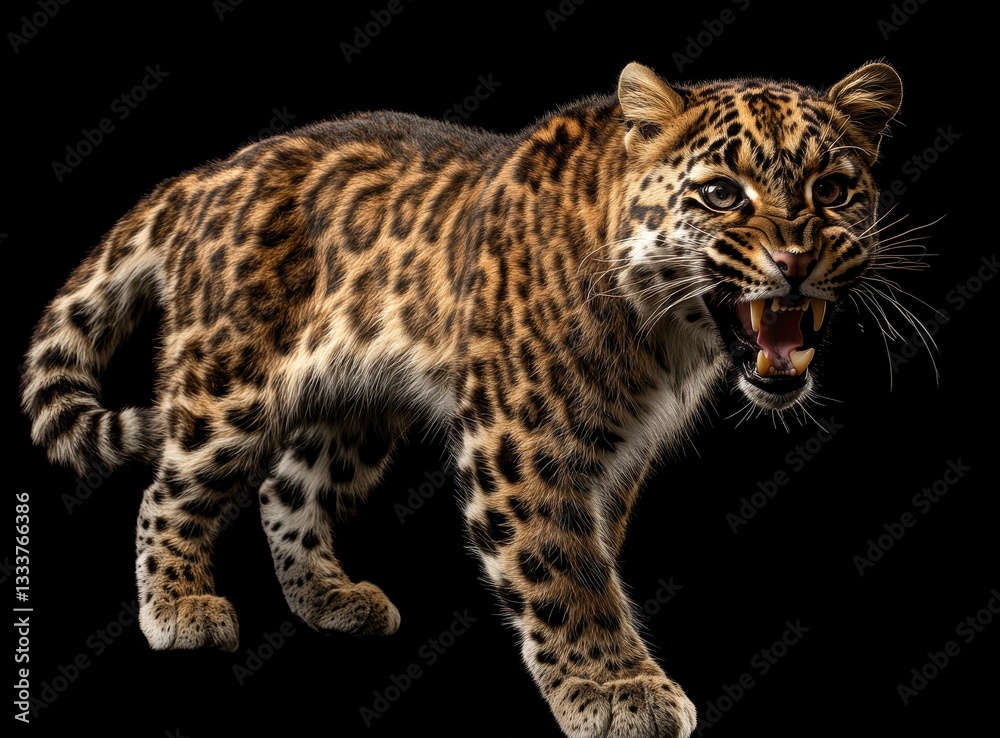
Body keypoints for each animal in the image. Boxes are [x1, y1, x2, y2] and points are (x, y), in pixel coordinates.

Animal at [21, 61, 904, 737]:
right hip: (226, 383)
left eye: (834, 189)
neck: (663, 337)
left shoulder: (618, 456)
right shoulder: (522, 442)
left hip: (356, 408)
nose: (795, 261)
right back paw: (179, 606)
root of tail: (205, 174)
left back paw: (331, 599)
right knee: (169, 492)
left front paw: (612, 673)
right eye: (722, 193)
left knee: (287, 488)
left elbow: (593, 553)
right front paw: (616, 690)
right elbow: (562, 568)